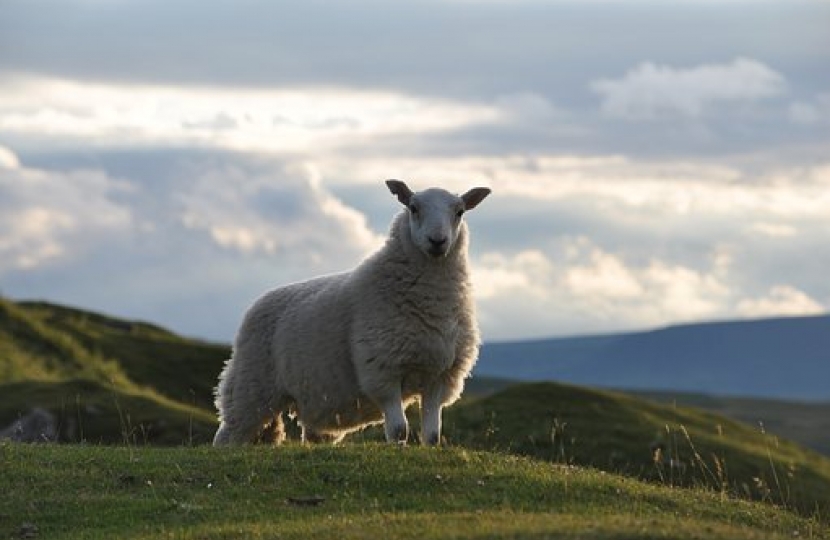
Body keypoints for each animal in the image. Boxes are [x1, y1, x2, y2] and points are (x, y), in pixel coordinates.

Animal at [212, 179, 491, 446]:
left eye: (460, 211)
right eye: (413, 208)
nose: (437, 241)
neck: (431, 301)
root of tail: (258, 302)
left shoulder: (440, 376)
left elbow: (432, 435)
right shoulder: (382, 372)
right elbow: (399, 430)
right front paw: (397, 449)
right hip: (250, 387)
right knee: (228, 434)